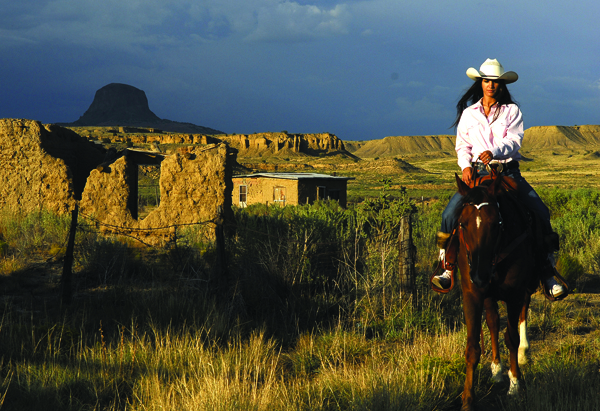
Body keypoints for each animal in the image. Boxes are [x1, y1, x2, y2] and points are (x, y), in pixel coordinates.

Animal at [454, 172, 540, 410]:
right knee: (493, 321)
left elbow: (511, 337)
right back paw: (496, 369)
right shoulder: (472, 294)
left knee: (522, 314)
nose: (479, 274)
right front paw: (468, 399)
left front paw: (515, 385)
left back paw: (523, 353)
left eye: (495, 224)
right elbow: (473, 347)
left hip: (525, 287)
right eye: (462, 224)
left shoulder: (515, 293)